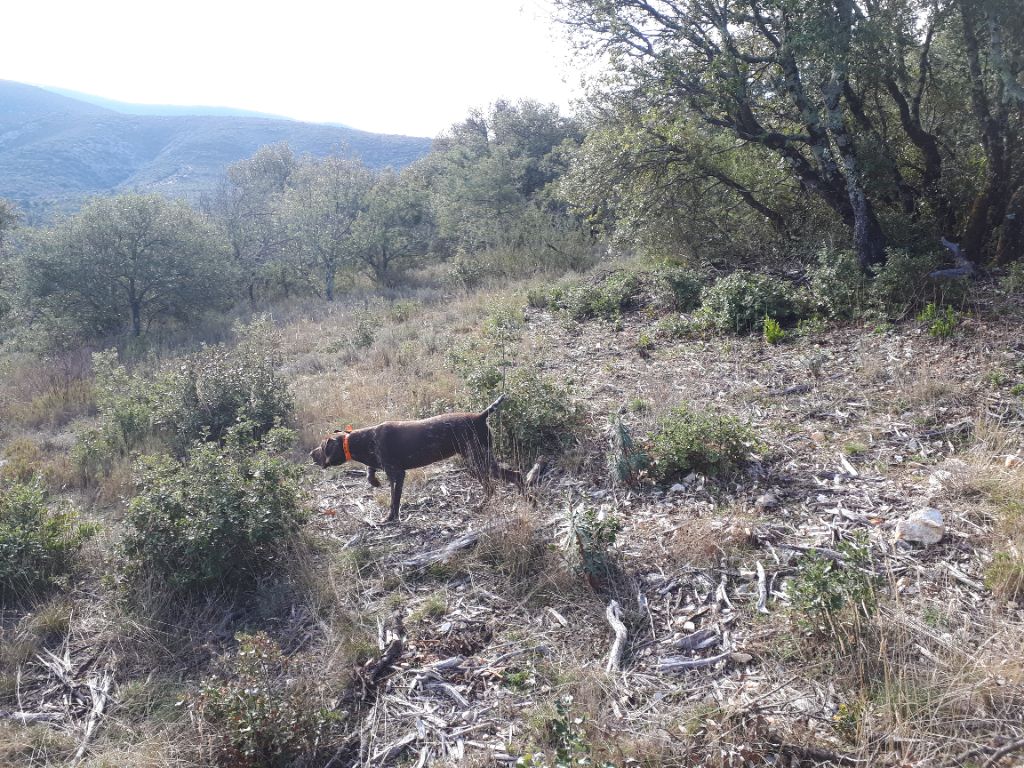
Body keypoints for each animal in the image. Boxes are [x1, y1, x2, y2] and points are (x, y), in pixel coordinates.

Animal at [309, 397, 520, 524]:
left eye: (321, 446)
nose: (311, 454)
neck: (365, 440)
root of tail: (480, 416)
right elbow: (371, 472)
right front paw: (373, 480)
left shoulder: (397, 474)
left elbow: (394, 499)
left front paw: (391, 517)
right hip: (478, 463)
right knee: (506, 481)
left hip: (478, 462)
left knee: (506, 481)